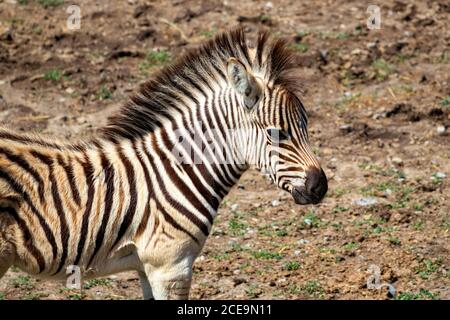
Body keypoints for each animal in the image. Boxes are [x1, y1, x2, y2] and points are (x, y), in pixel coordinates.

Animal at [0, 28, 330, 298]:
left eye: (307, 126)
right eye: (278, 133)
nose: (320, 186)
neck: (174, 171)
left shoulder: (148, 267)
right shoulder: (170, 266)